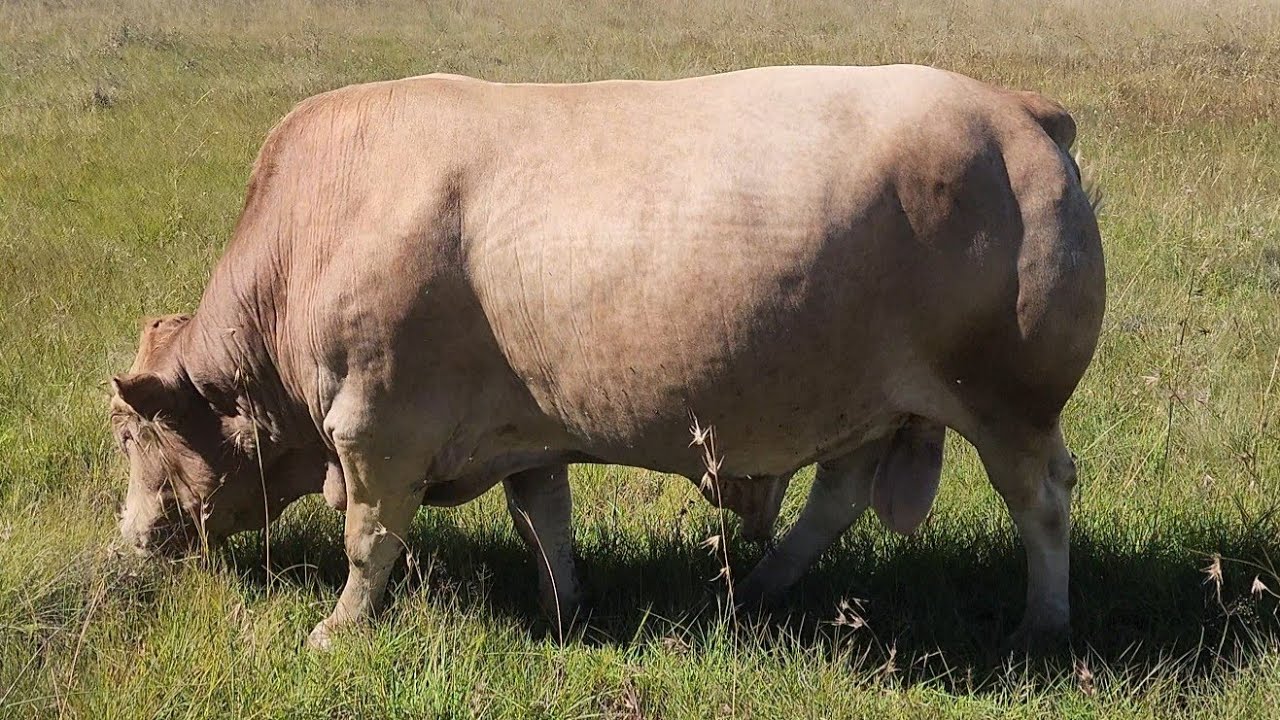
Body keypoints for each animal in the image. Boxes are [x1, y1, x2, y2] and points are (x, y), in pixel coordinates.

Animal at [108, 64, 1104, 651]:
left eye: (127, 437)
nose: (129, 541)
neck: (313, 228)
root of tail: (1016, 109)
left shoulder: (375, 427)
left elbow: (370, 540)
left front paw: (339, 630)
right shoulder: (523, 429)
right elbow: (542, 518)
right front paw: (569, 605)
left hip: (1010, 401)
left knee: (1042, 499)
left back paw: (1043, 623)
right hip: (869, 402)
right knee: (838, 496)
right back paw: (758, 590)